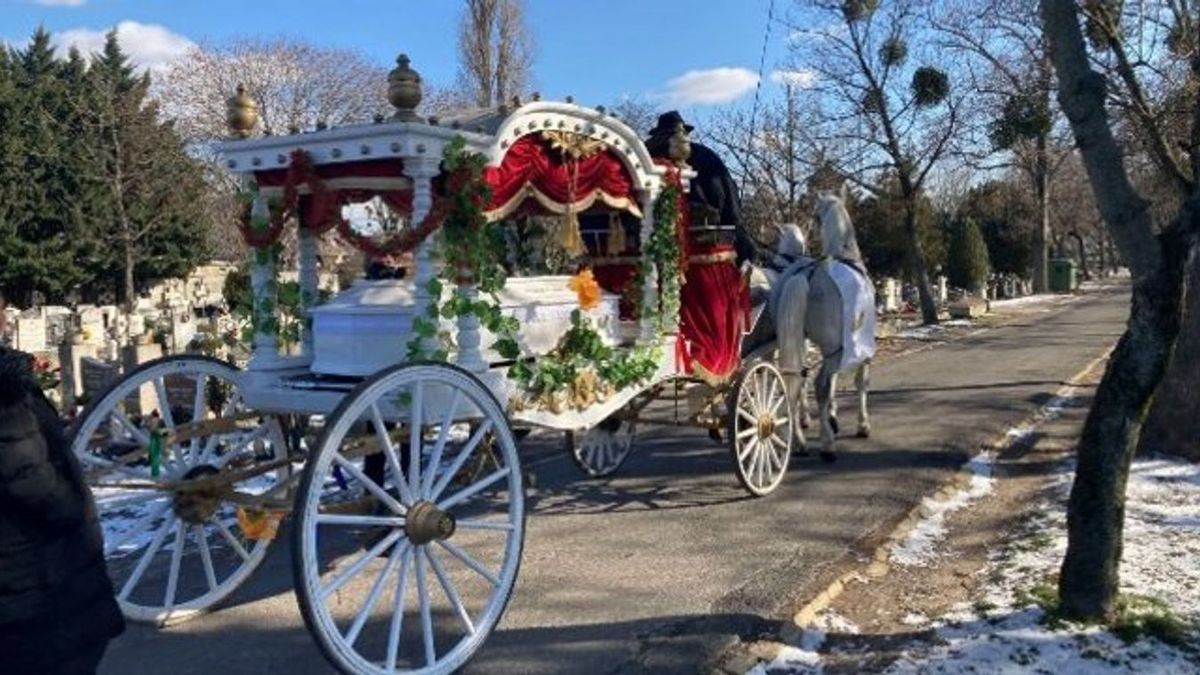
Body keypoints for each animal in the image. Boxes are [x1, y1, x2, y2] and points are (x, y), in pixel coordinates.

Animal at [748, 192, 873, 458]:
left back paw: (797, 440)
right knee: (819, 383)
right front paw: (861, 424)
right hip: (831, 347)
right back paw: (826, 444)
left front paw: (831, 416)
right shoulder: (859, 348)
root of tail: (803, 275)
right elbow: (860, 382)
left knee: (789, 383)